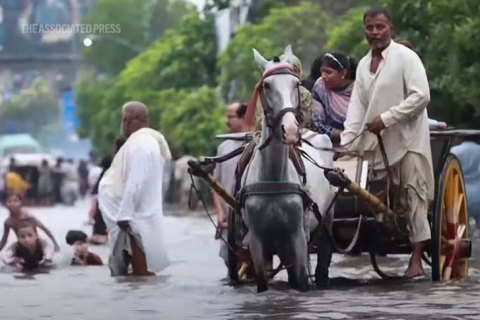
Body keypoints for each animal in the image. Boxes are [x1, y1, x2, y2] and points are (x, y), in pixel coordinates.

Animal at [240, 45, 338, 292]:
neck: (273, 177)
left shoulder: (298, 234)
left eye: (295, 84)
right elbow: (263, 281)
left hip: (327, 216)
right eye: (266, 85)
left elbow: (302, 279)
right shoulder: (256, 238)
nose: (291, 129)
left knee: (323, 254)